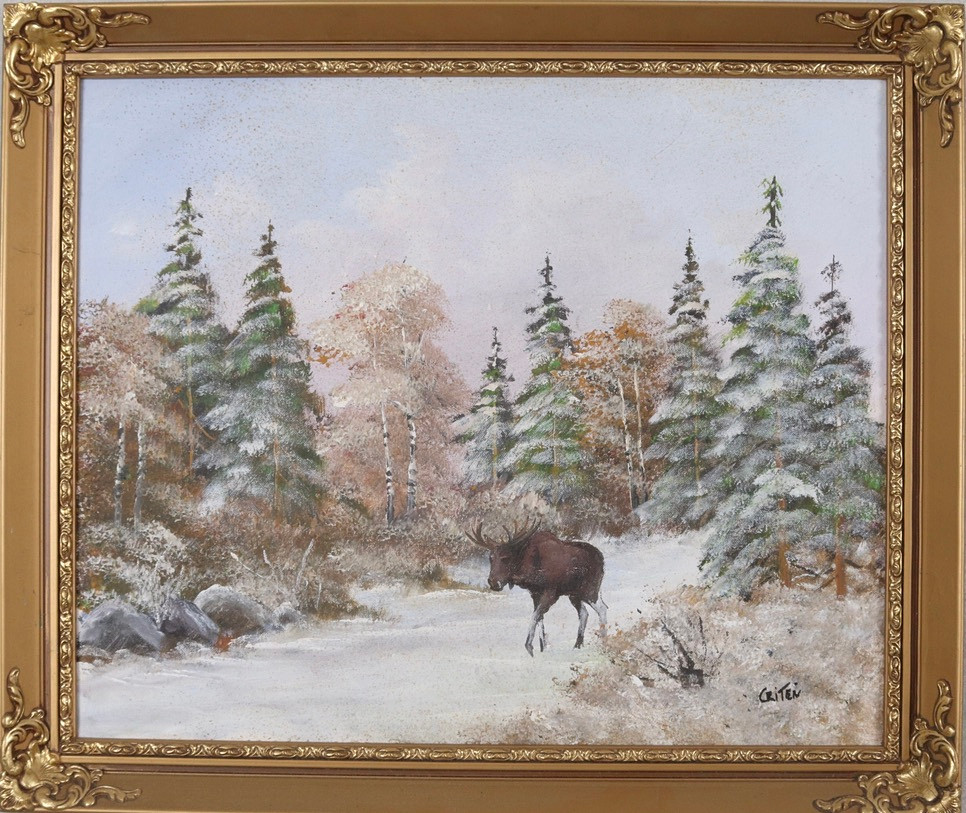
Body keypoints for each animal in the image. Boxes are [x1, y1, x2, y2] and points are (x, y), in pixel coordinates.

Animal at [466, 520, 608, 656]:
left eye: (505, 558)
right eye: (491, 558)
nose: (493, 582)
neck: (529, 569)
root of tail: (601, 557)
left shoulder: (551, 593)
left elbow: (534, 616)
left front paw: (529, 646)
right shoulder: (535, 594)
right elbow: (540, 617)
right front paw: (543, 647)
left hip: (590, 589)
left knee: (602, 609)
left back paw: (603, 641)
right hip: (574, 594)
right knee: (584, 613)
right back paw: (577, 645)